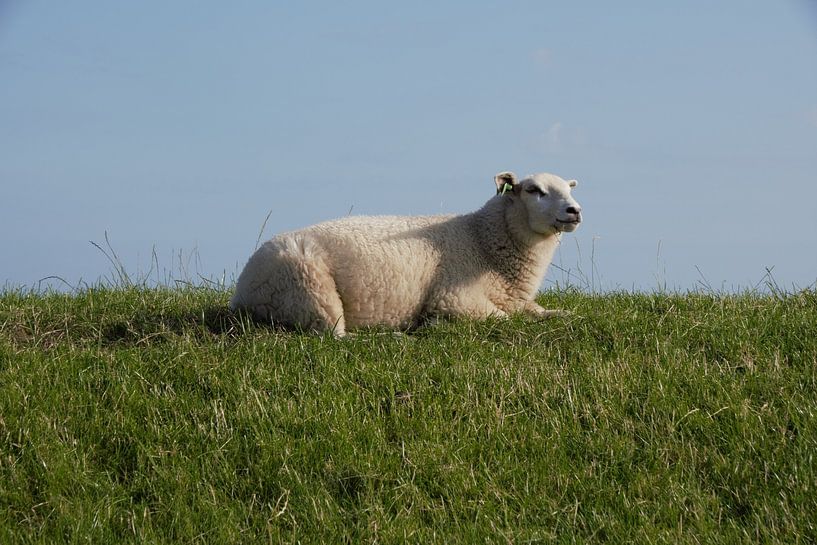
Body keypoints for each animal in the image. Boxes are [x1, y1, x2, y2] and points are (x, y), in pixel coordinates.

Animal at [230, 171, 582, 336]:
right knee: (333, 334)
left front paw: (564, 314)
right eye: (534, 190)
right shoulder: (453, 297)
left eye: (569, 188)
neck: (481, 240)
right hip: (310, 289)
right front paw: (433, 324)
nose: (575, 211)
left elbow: (544, 312)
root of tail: (242, 290)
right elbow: (506, 319)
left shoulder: (514, 299)